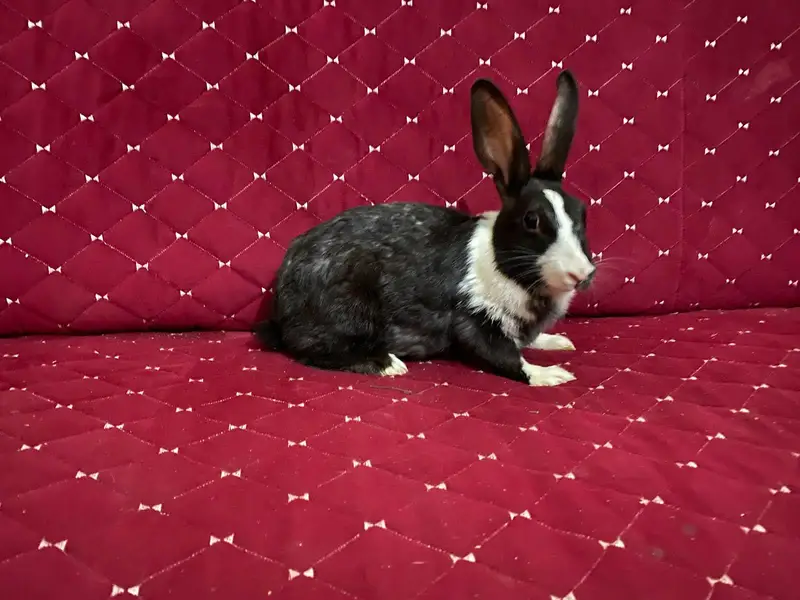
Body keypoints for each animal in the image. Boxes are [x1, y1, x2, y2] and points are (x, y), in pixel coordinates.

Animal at [254, 70, 595, 386]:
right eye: (531, 220)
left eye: (582, 213)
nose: (582, 274)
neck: (506, 265)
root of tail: (281, 303)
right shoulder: (474, 319)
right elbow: (505, 356)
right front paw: (549, 374)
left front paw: (557, 342)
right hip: (346, 311)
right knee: (314, 350)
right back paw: (388, 364)